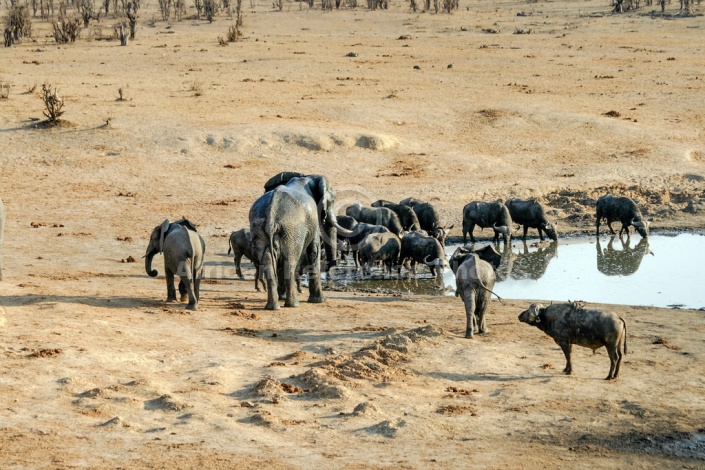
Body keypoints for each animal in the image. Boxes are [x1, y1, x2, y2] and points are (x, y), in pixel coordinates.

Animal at [250, 174, 354, 310]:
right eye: (332, 201)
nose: (332, 263)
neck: (308, 177)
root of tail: (271, 212)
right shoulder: (312, 220)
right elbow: (314, 250)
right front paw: (320, 300)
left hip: (260, 229)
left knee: (268, 264)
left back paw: (273, 306)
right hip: (292, 231)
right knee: (290, 262)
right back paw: (293, 304)